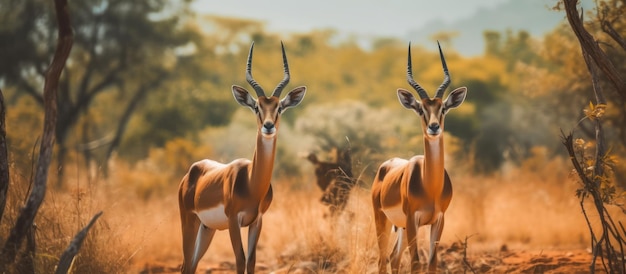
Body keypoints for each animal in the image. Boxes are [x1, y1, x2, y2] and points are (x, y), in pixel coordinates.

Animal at [177, 41, 306, 272]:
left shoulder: (257, 221)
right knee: (185, 265)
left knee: (191, 266)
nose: (268, 126)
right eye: (256, 107)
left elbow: (251, 260)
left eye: (279, 108)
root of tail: (191, 172)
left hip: (207, 228)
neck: (251, 183)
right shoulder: (233, 221)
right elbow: (239, 259)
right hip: (189, 221)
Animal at [370, 41, 464, 272]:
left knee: (393, 258)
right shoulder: (413, 219)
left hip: (401, 228)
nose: (434, 127)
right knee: (382, 259)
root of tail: (385, 167)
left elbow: (431, 262)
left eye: (443, 108)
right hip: (382, 220)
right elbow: (415, 262)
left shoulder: (438, 220)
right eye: (421, 109)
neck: (430, 187)